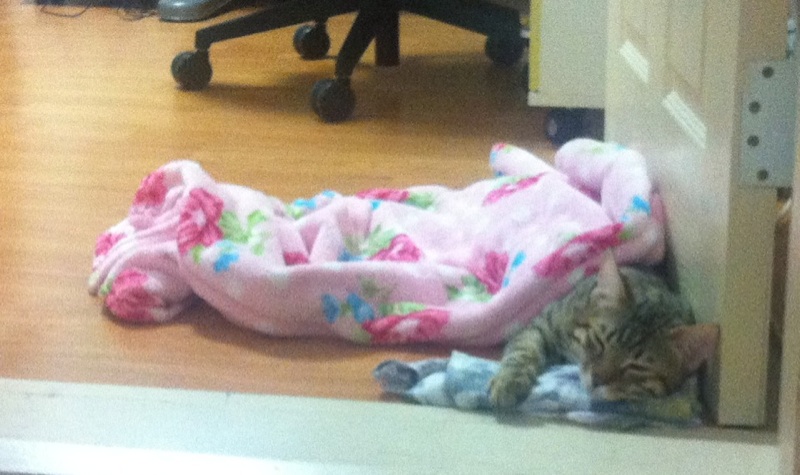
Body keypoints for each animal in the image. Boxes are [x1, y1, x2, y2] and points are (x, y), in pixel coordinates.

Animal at [489, 252, 720, 409]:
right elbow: (522, 350)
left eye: (636, 366)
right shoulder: (543, 323)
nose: (597, 380)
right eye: (599, 341)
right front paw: (509, 379)